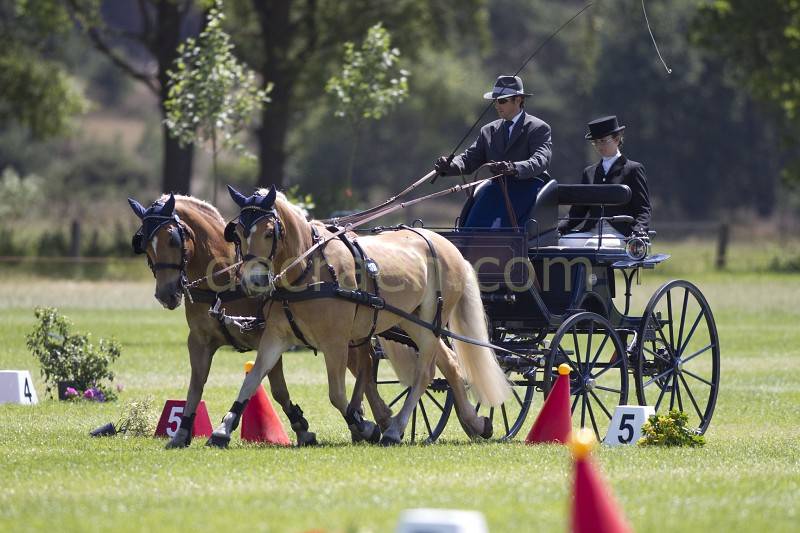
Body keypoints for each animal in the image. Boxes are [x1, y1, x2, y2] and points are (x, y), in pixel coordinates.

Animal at [127, 193, 387, 446]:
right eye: (144, 243)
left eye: (172, 239)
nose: (166, 294)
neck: (223, 283)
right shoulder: (200, 341)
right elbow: (196, 385)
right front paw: (182, 432)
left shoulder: (266, 335)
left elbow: (278, 389)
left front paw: (302, 429)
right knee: (366, 364)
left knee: (365, 366)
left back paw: (375, 420)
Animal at [207, 185, 511, 446]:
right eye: (238, 234)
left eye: (270, 232)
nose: (254, 281)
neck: (308, 268)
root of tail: (450, 247)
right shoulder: (275, 337)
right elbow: (252, 380)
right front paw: (223, 429)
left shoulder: (336, 343)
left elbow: (337, 394)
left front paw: (365, 426)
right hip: (411, 320)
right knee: (449, 364)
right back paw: (475, 423)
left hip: (430, 320)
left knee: (424, 373)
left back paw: (395, 430)